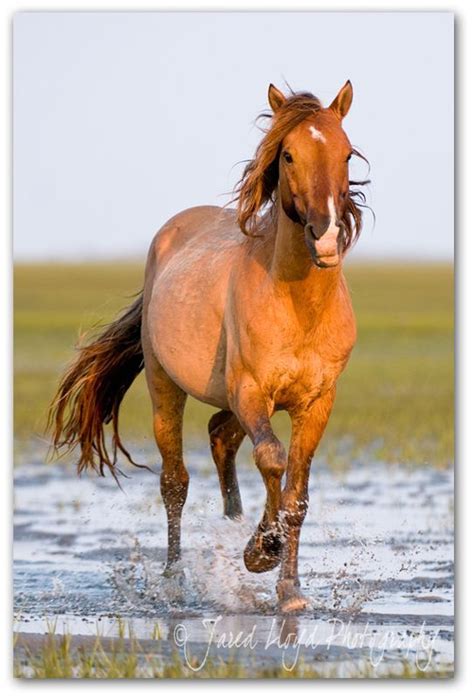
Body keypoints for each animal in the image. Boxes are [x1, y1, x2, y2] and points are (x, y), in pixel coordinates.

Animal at [49, 80, 366, 608]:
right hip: (166, 388)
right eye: (288, 155)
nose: (324, 237)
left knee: (221, 434)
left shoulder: (317, 401)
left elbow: (296, 493)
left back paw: (234, 515)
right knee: (175, 481)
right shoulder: (252, 391)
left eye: (346, 154)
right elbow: (272, 458)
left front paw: (290, 588)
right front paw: (261, 550)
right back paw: (175, 578)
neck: (299, 307)